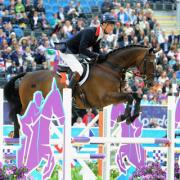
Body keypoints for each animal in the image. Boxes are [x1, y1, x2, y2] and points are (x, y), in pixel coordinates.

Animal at [3, 45, 156, 138]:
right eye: (150, 62)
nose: (151, 83)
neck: (111, 68)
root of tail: (27, 75)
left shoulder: (114, 96)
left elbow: (136, 96)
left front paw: (133, 116)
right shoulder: (105, 97)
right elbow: (130, 96)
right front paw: (125, 117)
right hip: (29, 103)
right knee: (19, 116)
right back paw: (16, 136)